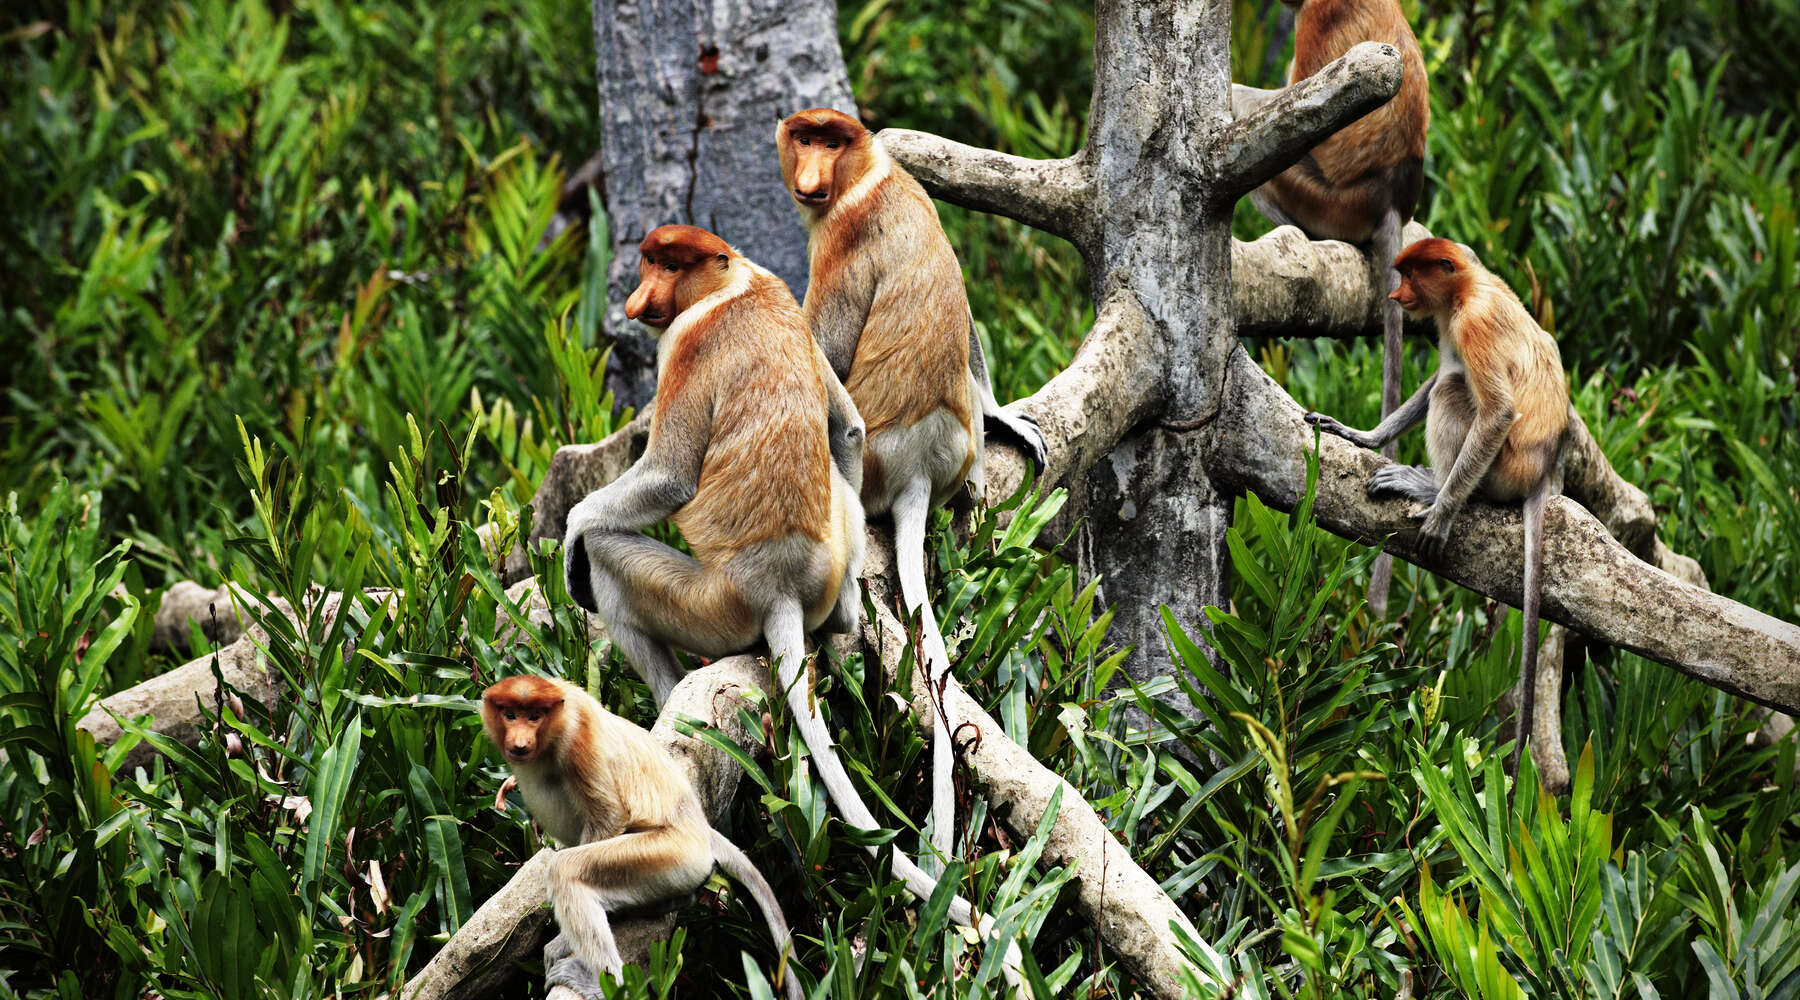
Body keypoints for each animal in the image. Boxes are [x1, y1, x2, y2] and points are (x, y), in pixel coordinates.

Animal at [486, 672, 810, 1000]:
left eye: (534, 717)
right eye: (510, 715)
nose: (520, 743)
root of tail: (700, 829)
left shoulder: (579, 737)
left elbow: (608, 816)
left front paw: (561, 943)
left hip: (667, 854)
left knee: (568, 870)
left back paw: (604, 983)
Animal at [561, 224, 1044, 992]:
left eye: (666, 264)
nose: (640, 300)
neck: (733, 285)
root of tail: (778, 589)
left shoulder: (686, 347)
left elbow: (667, 477)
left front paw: (572, 532)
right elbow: (845, 425)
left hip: (707, 602)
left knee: (616, 563)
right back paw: (841, 613)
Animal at [777, 105, 1051, 863]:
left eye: (830, 140)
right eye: (803, 137)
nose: (811, 169)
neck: (865, 179)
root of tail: (918, 472)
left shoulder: (839, 241)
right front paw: (1006, 413)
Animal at [1303, 237, 1569, 769]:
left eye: (1410, 275)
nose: (1394, 294)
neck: (1468, 285)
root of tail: (1541, 471)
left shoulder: (1471, 324)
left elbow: (1496, 410)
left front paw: (1439, 513)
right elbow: (1440, 374)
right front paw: (1363, 435)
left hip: (1502, 469)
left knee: (1454, 392)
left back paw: (1435, 488)